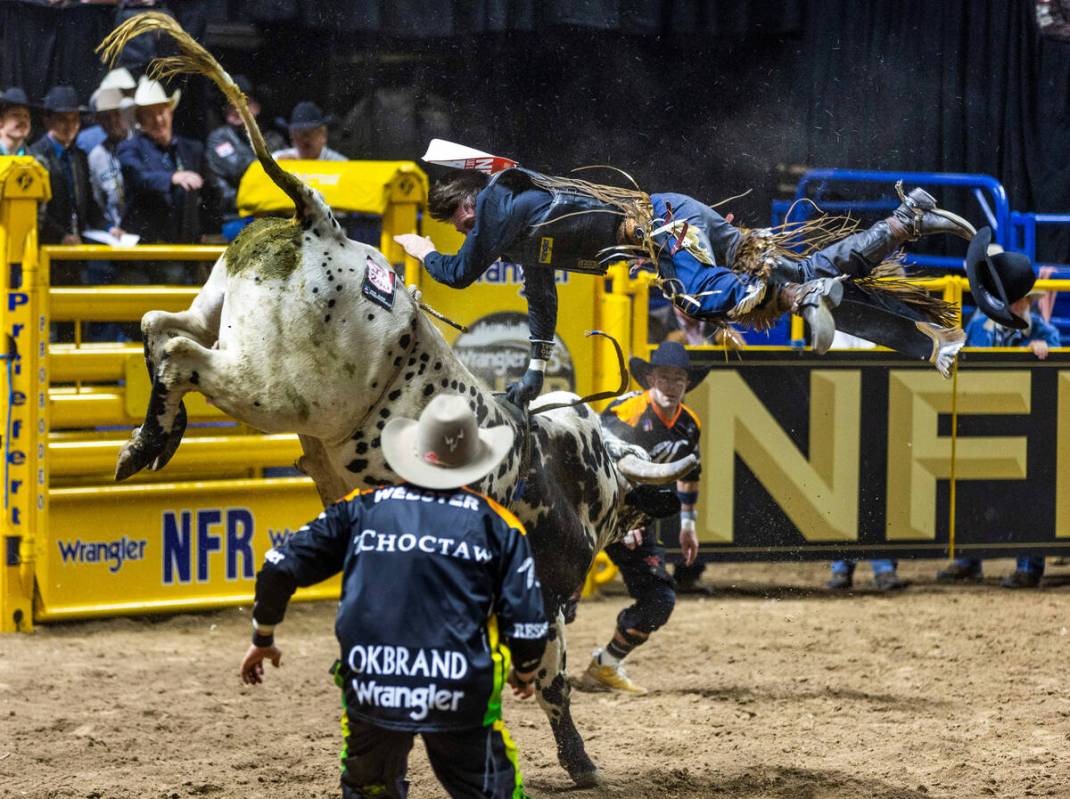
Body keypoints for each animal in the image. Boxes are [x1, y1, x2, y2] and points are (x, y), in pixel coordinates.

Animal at [104, 12, 697, 787]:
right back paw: (156, 438)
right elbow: (553, 680)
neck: (568, 463)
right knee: (179, 356)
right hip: (275, 390)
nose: (644, 533)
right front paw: (581, 762)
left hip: (220, 313)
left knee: (158, 327)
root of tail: (321, 222)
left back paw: (149, 438)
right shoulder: (545, 593)